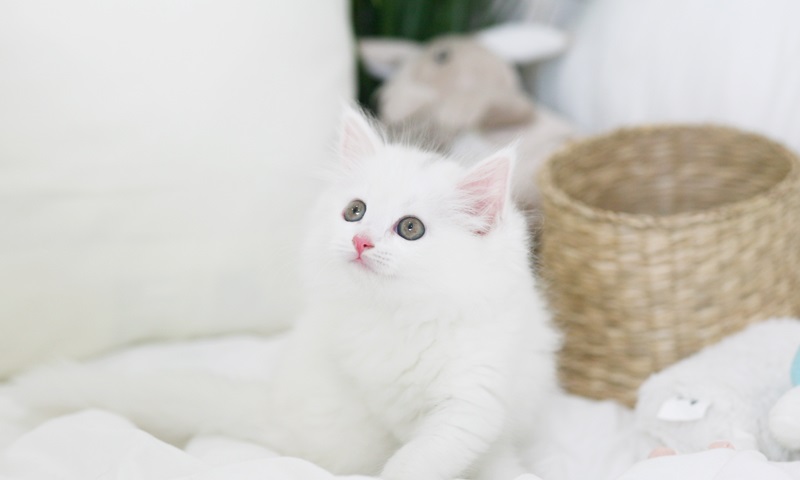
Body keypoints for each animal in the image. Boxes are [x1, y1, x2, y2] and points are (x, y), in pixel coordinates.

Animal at [10, 106, 560, 480]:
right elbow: (410, 460)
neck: (401, 317)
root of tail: (275, 409)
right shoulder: (381, 395)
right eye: (355, 212)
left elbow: (449, 451)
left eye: (410, 229)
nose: (361, 241)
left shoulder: (476, 397)